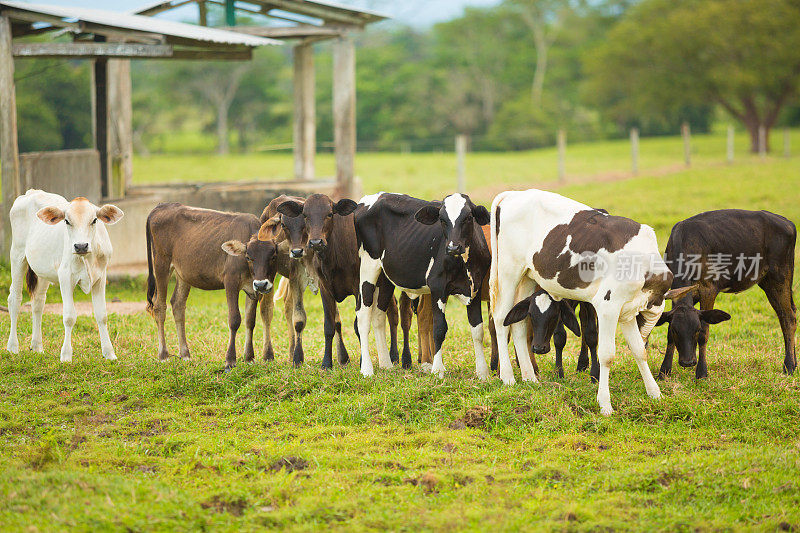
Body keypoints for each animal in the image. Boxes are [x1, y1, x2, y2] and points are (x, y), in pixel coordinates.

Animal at [6, 189, 124, 360]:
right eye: (67, 221)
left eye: (94, 220)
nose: (81, 246)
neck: (87, 258)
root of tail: (32, 192)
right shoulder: (65, 276)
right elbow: (69, 317)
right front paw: (66, 355)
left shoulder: (100, 277)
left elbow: (102, 315)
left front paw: (109, 353)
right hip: (17, 255)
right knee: (15, 299)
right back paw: (13, 347)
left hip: (43, 271)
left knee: (38, 302)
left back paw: (37, 346)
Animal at [145, 202, 280, 368]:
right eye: (248, 257)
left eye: (273, 256)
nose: (261, 284)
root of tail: (161, 206)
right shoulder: (230, 280)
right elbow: (234, 319)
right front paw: (230, 360)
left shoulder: (252, 288)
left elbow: (250, 320)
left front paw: (249, 357)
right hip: (161, 263)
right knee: (159, 306)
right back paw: (163, 355)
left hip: (183, 272)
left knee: (178, 304)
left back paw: (185, 354)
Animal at [354, 191, 490, 378]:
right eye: (442, 219)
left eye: (469, 217)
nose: (453, 248)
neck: (464, 264)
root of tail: (375, 196)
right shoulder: (438, 287)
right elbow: (439, 328)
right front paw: (438, 370)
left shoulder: (475, 288)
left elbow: (478, 330)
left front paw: (483, 373)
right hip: (368, 267)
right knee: (363, 314)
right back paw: (367, 369)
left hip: (385, 277)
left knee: (379, 315)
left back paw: (386, 364)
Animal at [490, 188, 684, 416]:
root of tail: (515, 193)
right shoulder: (608, 306)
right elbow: (607, 354)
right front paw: (605, 404)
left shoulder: (626, 311)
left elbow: (639, 351)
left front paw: (654, 393)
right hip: (508, 271)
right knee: (501, 319)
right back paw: (508, 376)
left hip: (528, 276)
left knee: (519, 323)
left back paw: (530, 377)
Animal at [652, 208, 796, 378]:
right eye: (675, 330)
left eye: (696, 330)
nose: (688, 362)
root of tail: (787, 222)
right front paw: (664, 371)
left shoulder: (709, 289)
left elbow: (705, 332)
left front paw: (702, 372)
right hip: (768, 281)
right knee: (789, 313)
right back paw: (794, 364)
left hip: (780, 275)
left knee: (788, 318)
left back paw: (789, 366)